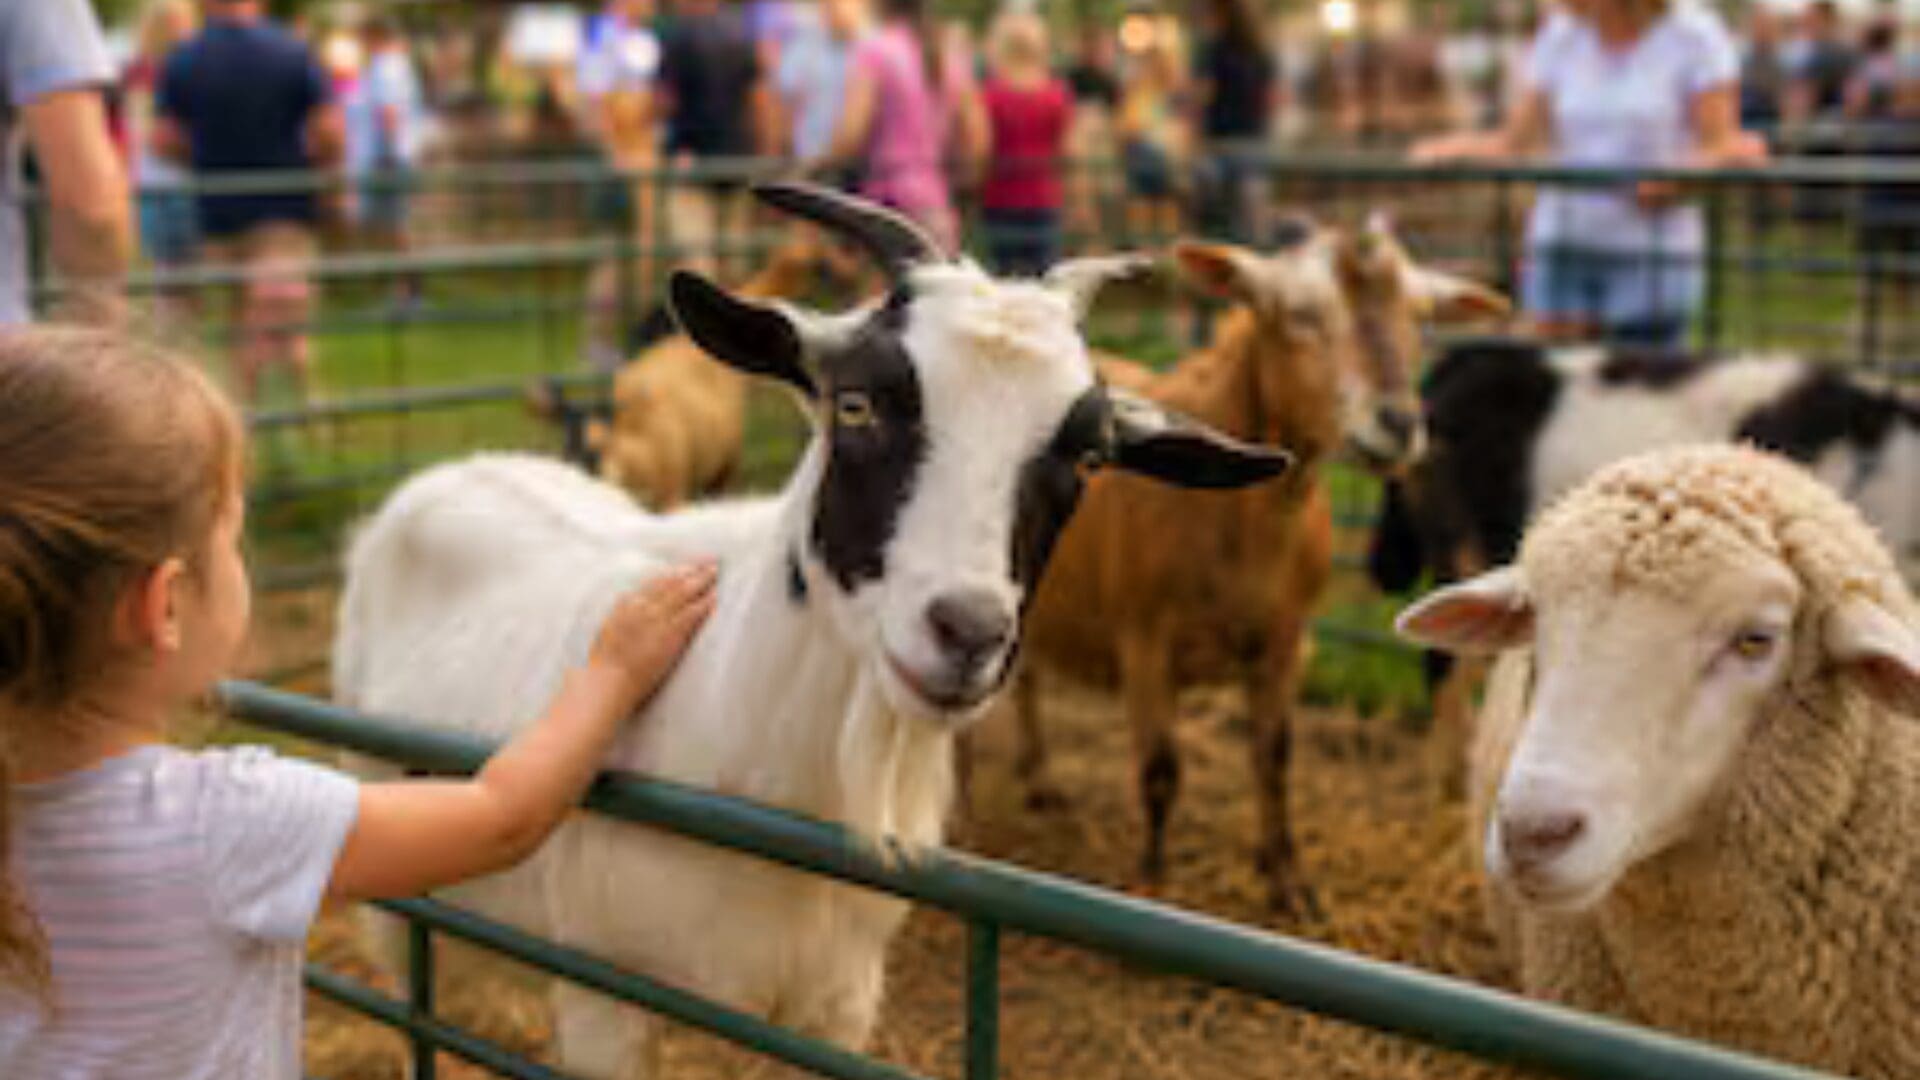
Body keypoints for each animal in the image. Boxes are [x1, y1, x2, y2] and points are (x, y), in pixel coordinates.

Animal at [332, 183, 1292, 1078]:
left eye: (1090, 457)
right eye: (856, 406)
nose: (967, 633)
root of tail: (458, 470)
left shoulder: (837, 1007)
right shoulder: (603, 998)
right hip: (391, 885)